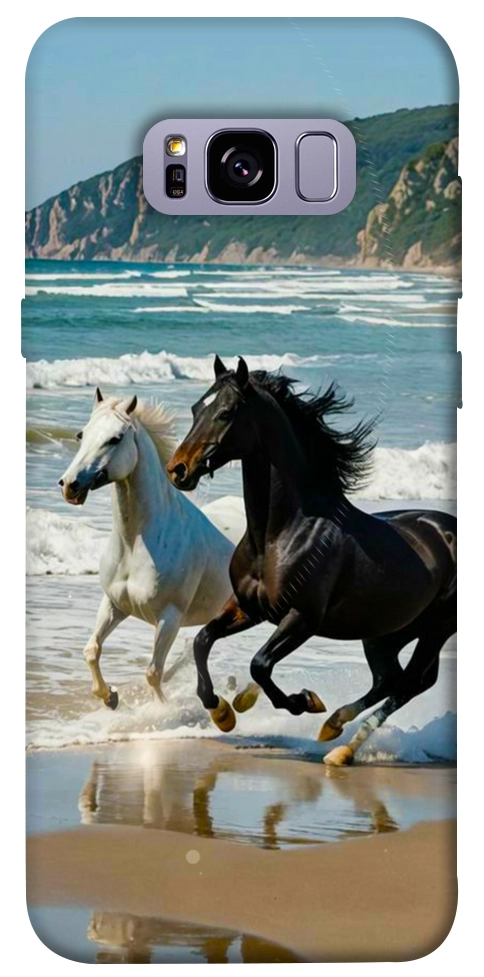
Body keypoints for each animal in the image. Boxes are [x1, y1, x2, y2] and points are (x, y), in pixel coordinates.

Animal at [59, 387, 234, 709]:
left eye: (115, 438)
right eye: (81, 434)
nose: (69, 485)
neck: (135, 544)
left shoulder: (169, 618)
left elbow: (153, 672)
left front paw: (161, 711)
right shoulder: (114, 604)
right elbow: (91, 650)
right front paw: (110, 697)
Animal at [166, 356, 457, 765]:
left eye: (225, 413)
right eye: (196, 409)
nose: (178, 469)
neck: (280, 534)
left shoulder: (302, 618)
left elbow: (260, 664)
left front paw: (303, 701)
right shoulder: (248, 608)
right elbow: (202, 641)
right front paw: (222, 711)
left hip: (435, 629)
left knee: (410, 683)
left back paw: (341, 746)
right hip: (385, 632)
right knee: (390, 679)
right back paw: (334, 728)